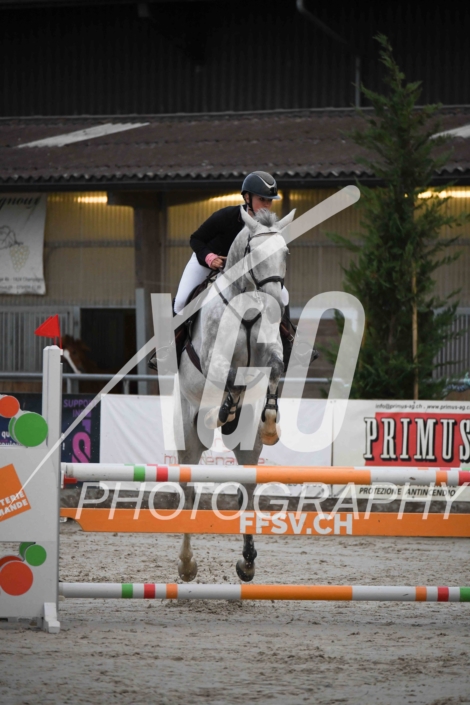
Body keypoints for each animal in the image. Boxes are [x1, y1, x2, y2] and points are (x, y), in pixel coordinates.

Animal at [175, 206, 295, 583]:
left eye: (285, 253)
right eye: (254, 253)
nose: (275, 303)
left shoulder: (270, 354)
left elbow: (273, 368)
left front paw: (270, 422)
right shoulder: (212, 360)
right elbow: (226, 374)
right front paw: (225, 407)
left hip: (246, 444)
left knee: (247, 490)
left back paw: (247, 562)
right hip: (188, 434)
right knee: (188, 490)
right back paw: (187, 565)